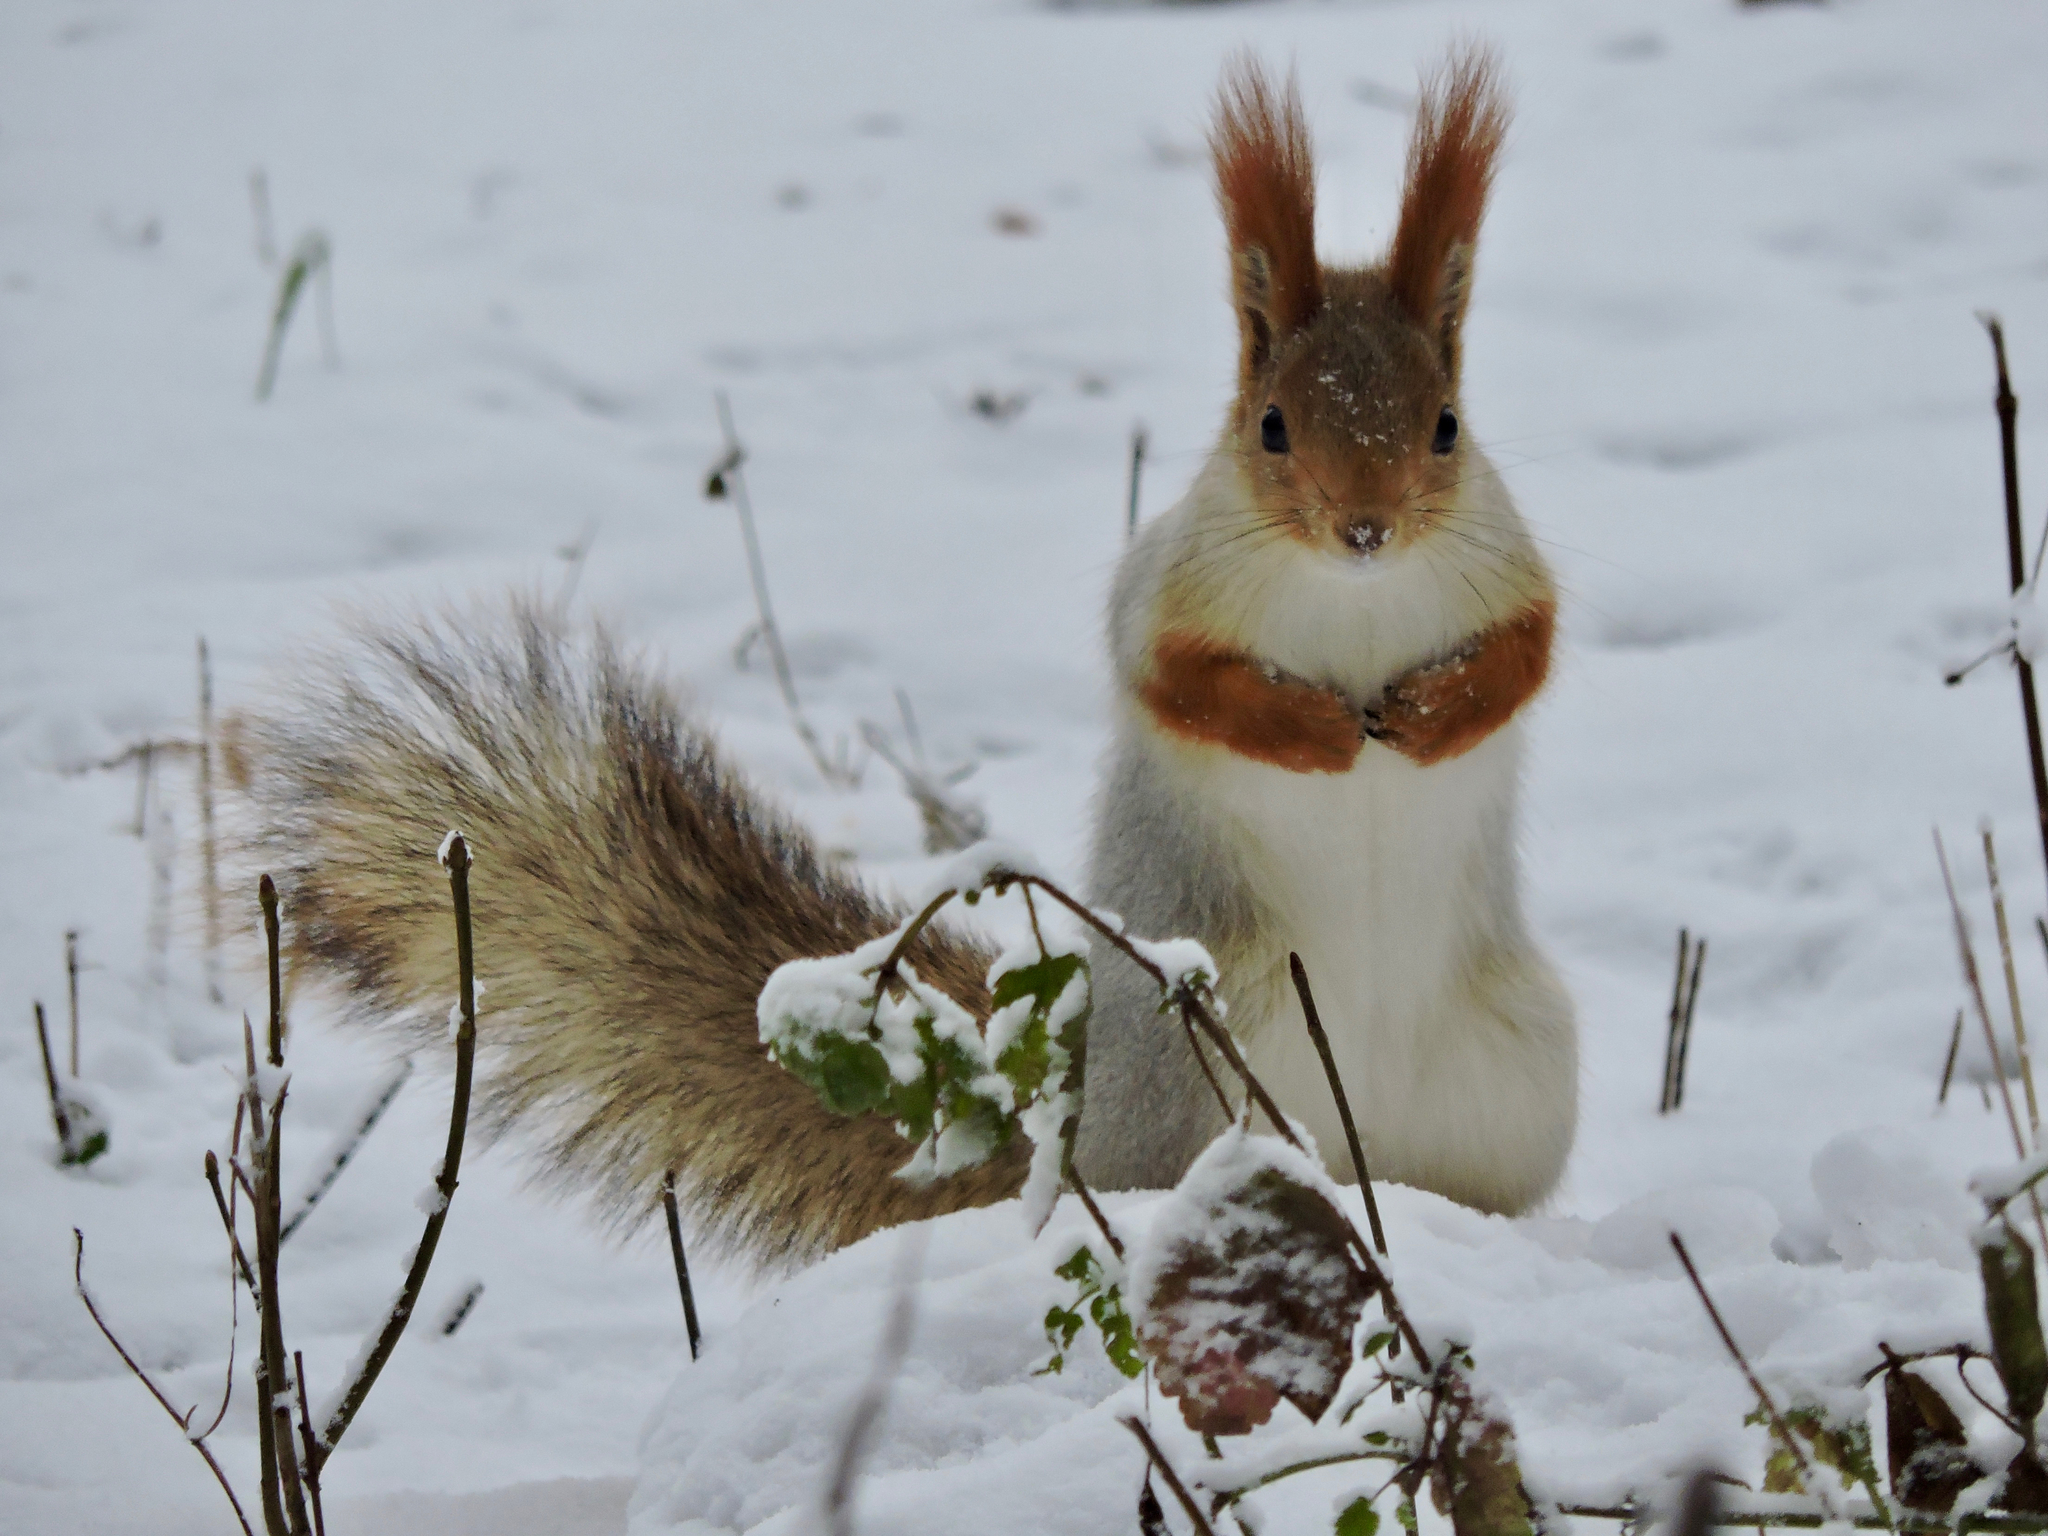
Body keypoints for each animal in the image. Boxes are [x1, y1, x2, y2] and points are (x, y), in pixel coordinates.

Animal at [232, 51, 1572, 1277]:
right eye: (1272, 427)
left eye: (1444, 427)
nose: (1366, 530)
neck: (1357, 598)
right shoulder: (1167, 588)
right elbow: (1183, 684)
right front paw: (1317, 732)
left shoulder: (1507, 567)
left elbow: (1527, 652)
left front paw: (1437, 712)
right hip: (1207, 1068)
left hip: (1524, 1070)